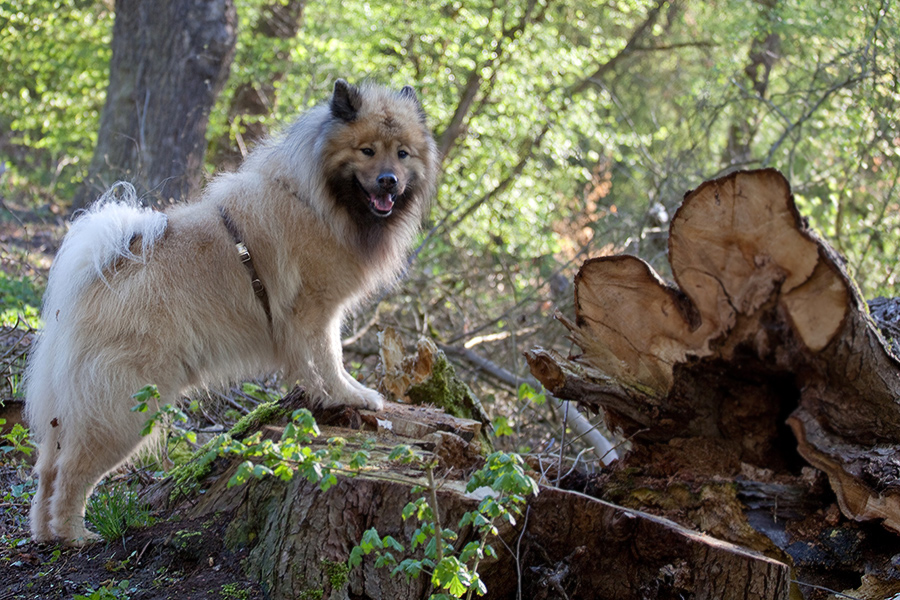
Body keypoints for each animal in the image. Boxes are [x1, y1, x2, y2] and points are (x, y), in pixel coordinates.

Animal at [22, 81, 438, 548]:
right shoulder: (315, 312)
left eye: (403, 154)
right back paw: (75, 534)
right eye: (367, 151)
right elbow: (329, 361)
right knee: (72, 474)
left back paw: (44, 533)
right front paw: (348, 394)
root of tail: (98, 274)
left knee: (47, 470)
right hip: (126, 409)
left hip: (73, 409)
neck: (314, 198)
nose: (389, 180)